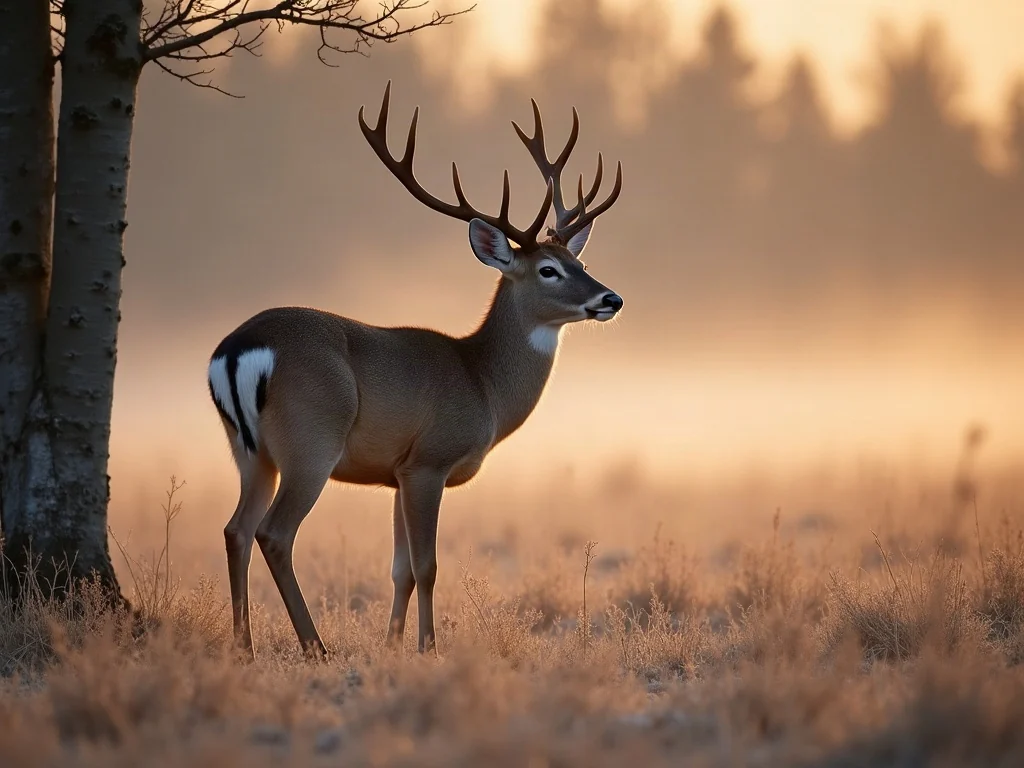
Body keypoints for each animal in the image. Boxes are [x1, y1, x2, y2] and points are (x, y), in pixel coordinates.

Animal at [207, 81, 624, 660]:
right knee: (274, 534)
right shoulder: (429, 460)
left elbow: (399, 569)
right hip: (311, 439)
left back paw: (243, 647)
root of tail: (240, 348)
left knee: (236, 531)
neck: (482, 382)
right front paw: (428, 648)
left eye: (580, 262)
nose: (611, 299)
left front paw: (392, 644)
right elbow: (427, 566)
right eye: (548, 270)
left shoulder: (395, 473)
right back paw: (315, 647)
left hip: (250, 451)